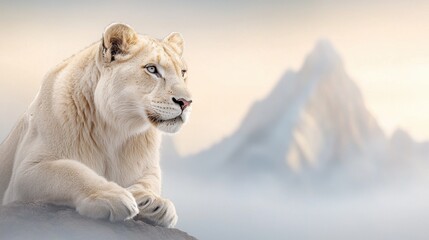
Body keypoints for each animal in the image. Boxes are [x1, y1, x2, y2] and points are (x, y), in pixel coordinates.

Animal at [0, 22, 192, 227]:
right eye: (152, 69)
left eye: (183, 72)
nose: (186, 102)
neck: (115, 129)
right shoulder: (24, 173)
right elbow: (71, 172)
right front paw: (112, 196)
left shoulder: (148, 167)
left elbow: (150, 181)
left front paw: (154, 203)